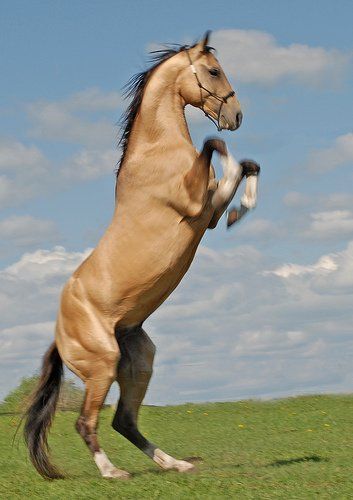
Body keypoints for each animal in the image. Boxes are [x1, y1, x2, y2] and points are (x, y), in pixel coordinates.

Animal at [22, 31, 258, 480]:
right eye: (213, 71)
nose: (236, 115)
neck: (156, 152)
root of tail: (60, 337)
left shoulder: (208, 214)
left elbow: (247, 166)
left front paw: (242, 209)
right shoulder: (196, 204)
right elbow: (217, 147)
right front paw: (241, 202)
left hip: (139, 359)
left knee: (124, 421)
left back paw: (176, 463)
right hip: (102, 363)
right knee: (87, 421)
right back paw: (113, 472)